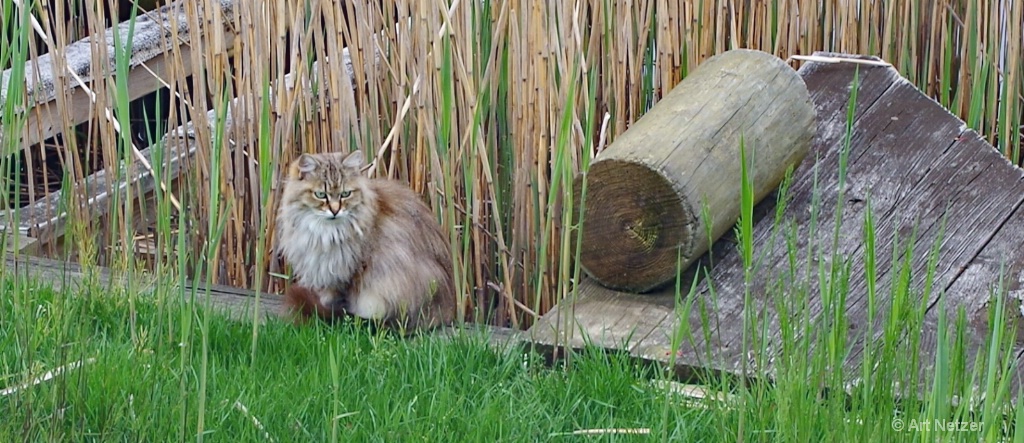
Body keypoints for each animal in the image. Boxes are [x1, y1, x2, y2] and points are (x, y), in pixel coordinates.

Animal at [278, 149, 458, 331]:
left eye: (345, 194)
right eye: (320, 195)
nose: (335, 210)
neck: (325, 232)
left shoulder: (345, 273)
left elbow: (336, 302)